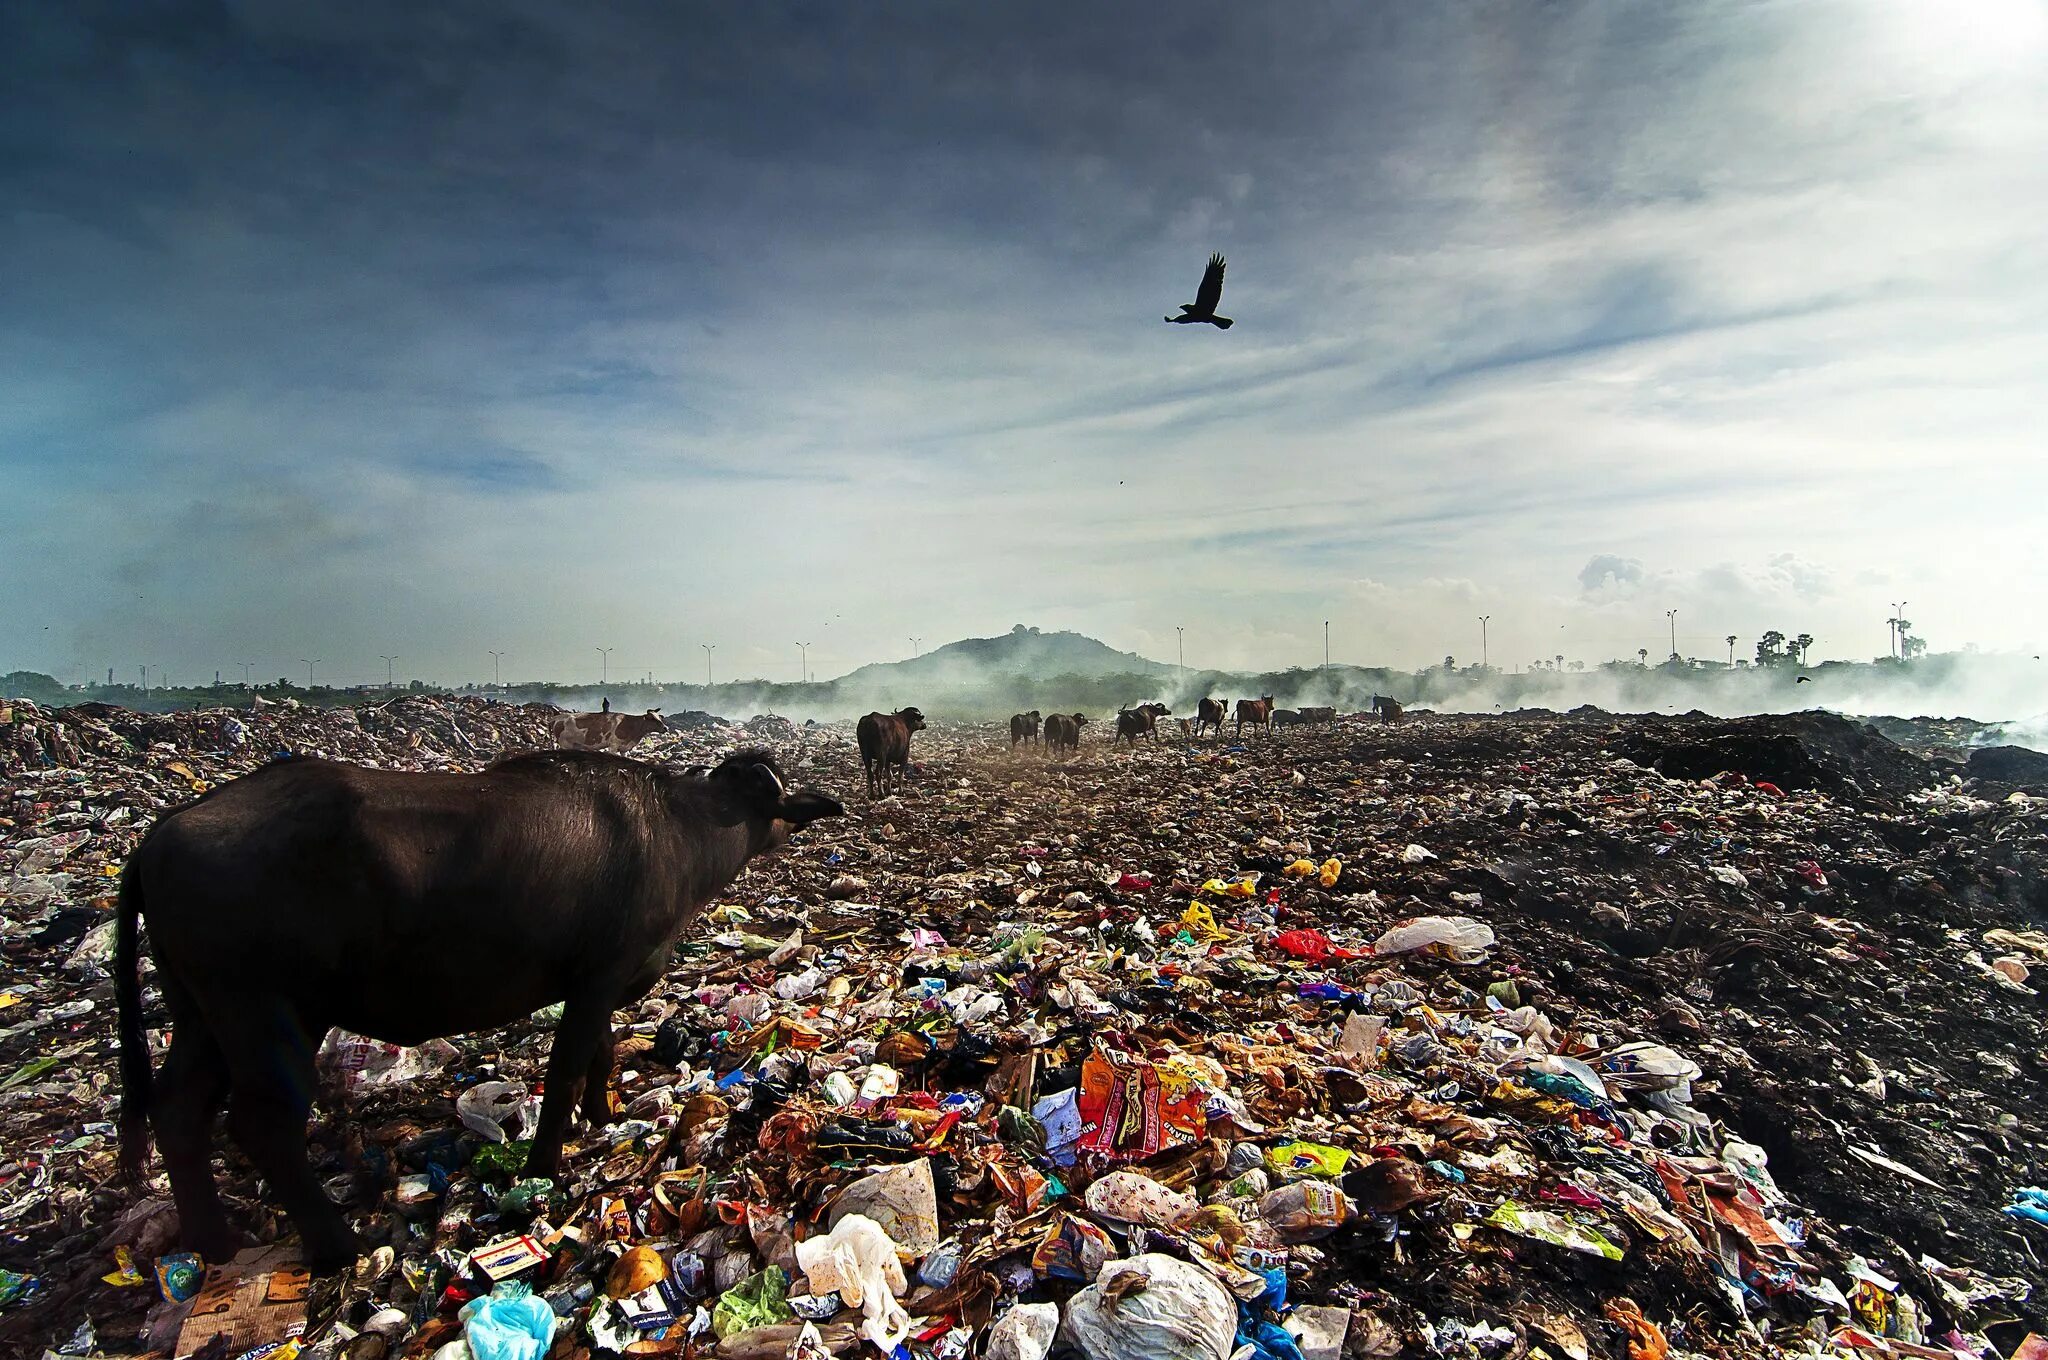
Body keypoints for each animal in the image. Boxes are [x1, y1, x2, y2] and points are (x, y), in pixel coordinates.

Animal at [119, 749, 843, 1269]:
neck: (681, 828)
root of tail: (160, 835)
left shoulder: (595, 983)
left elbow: (601, 1052)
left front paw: (602, 1115)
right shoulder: (599, 975)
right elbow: (566, 1068)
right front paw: (544, 1167)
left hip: (203, 1017)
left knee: (178, 1109)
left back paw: (213, 1239)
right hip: (268, 1016)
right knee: (262, 1124)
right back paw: (334, 1244)